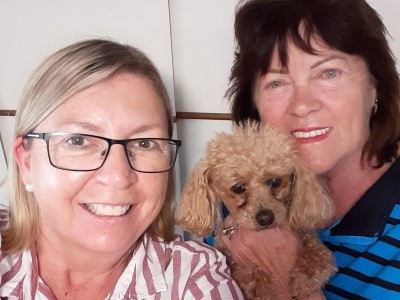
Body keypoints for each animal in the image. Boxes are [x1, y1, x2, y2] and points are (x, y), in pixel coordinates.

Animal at [177, 122, 336, 300]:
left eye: (275, 181)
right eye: (238, 187)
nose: (266, 218)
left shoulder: (314, 244)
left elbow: (317, 258)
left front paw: (301, 283)